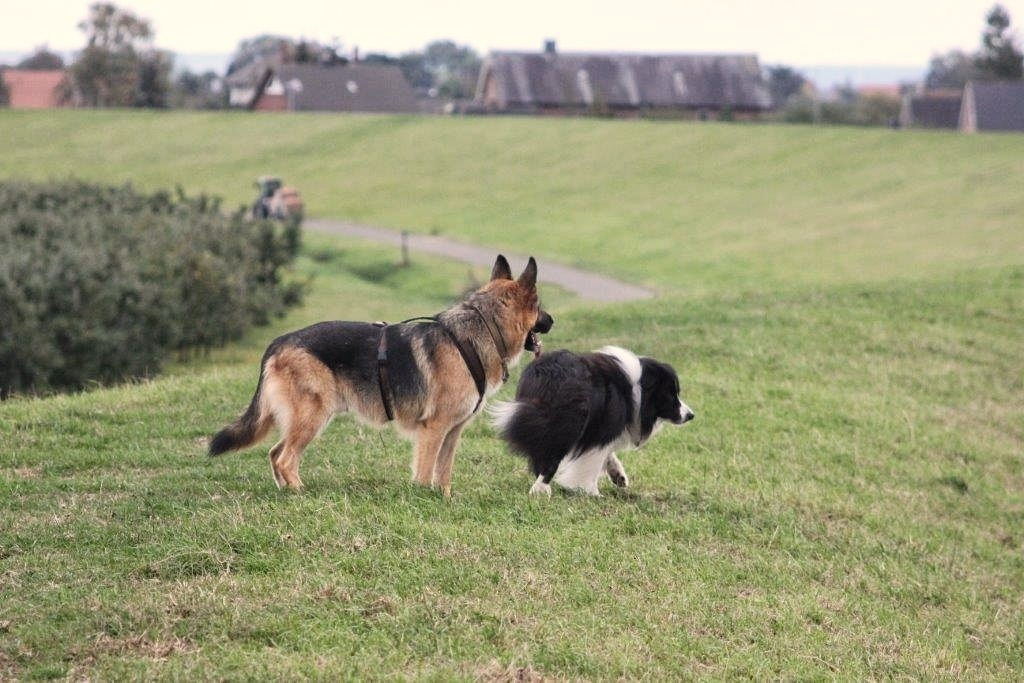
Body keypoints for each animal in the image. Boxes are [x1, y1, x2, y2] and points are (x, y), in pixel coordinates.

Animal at [209, 255, 553, 496]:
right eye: (539, 306)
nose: (553, 321)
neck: (480, 330)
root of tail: (278, 342)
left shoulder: (453, 432)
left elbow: (443, 473)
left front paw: (443, 498)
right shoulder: (434, 429)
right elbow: (425, 472)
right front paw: (422, 498)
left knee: (275, 453)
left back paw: (286, 491)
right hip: (313, 417)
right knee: (284, 457)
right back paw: (300, 492)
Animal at [491, 346, 693, 496]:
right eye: (671, 394)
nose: (691, 415)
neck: (638, 388)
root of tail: (546, 374)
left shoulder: (596, 428)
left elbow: (606, 453)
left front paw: (618, 475)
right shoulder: (604, 425)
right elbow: (593, 460)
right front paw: (591, 492)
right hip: (569, 421)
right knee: (553, 456)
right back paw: (540, 490)